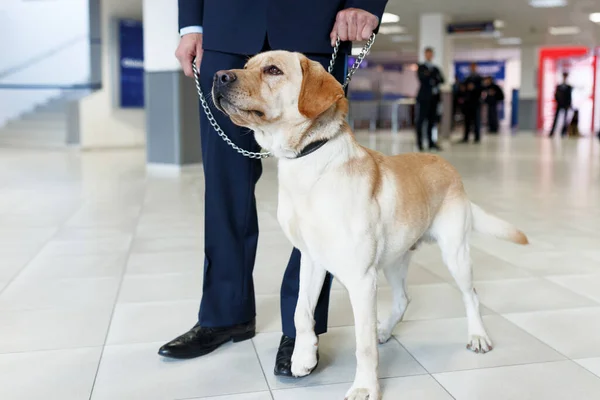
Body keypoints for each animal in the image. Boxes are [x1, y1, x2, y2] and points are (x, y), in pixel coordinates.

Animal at [210, 51, 524, 398]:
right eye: (246, 65)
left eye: (273, 70)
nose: (218, 76)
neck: (308, 164)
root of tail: (447, 164)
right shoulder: (311, 259)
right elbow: (301, 311)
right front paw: (304, 357)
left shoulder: (361, 279)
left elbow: (363, 345)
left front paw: (364, 387)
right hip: (395, 259)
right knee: (403, 299)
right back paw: (385, 329)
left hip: (455, 254)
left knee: (472, 296)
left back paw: (478, 336)